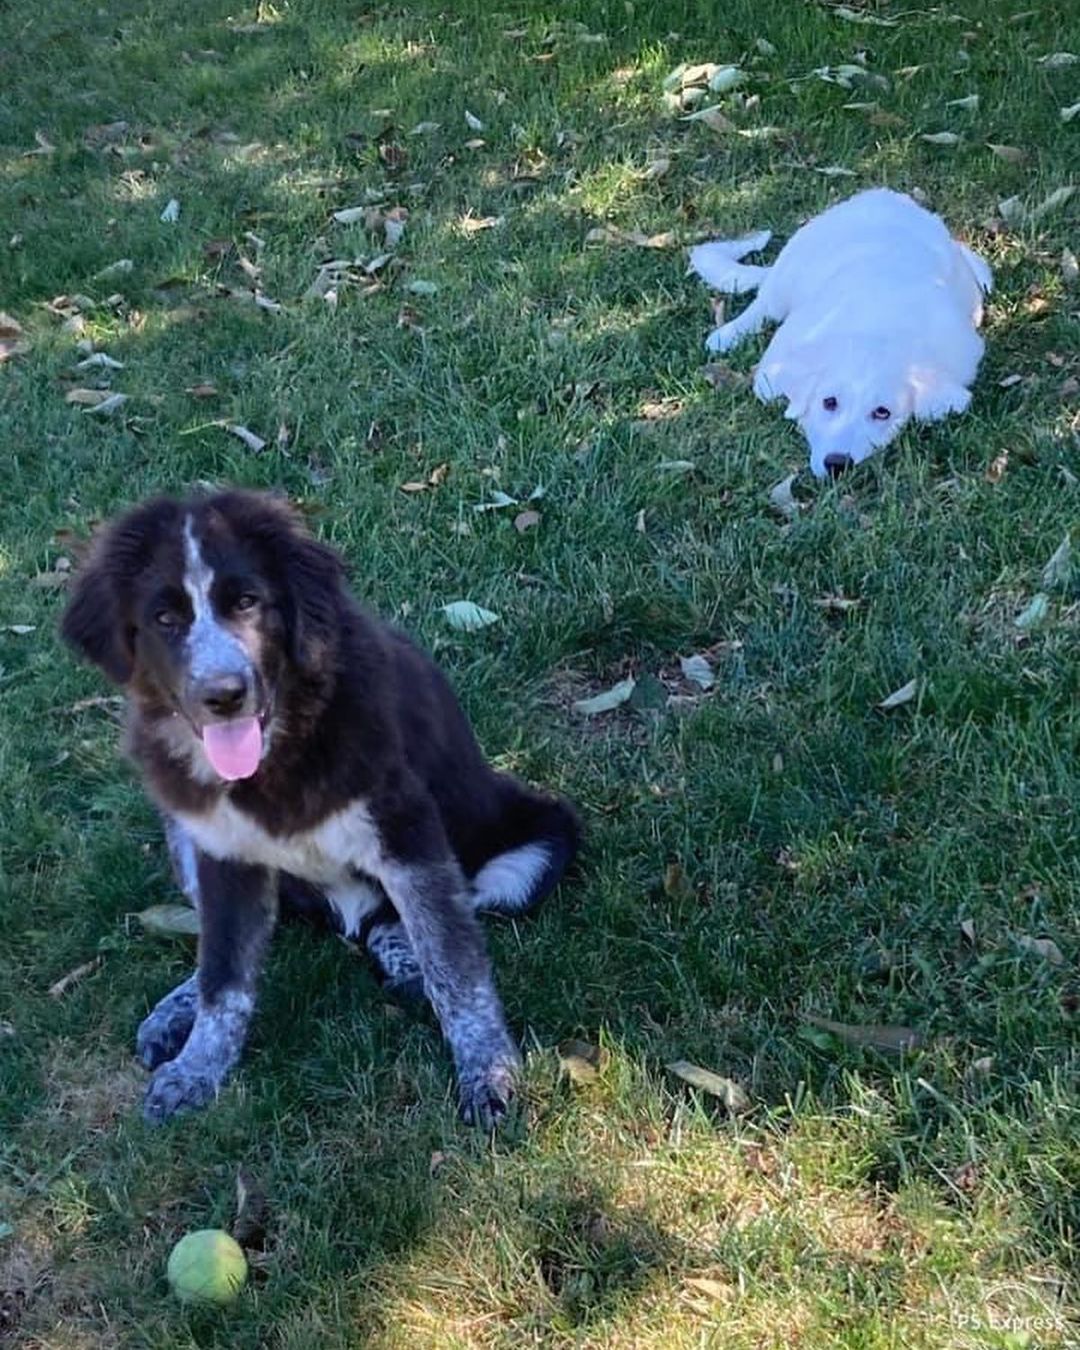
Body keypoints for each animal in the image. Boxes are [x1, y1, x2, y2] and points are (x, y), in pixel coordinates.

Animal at [688, 187, 993, 477]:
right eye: (829, 402)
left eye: (882, 413)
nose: (837, 465)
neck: (877, 330)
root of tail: (883, 196)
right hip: (788, 272)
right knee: (763, 303)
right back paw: (726, 335)